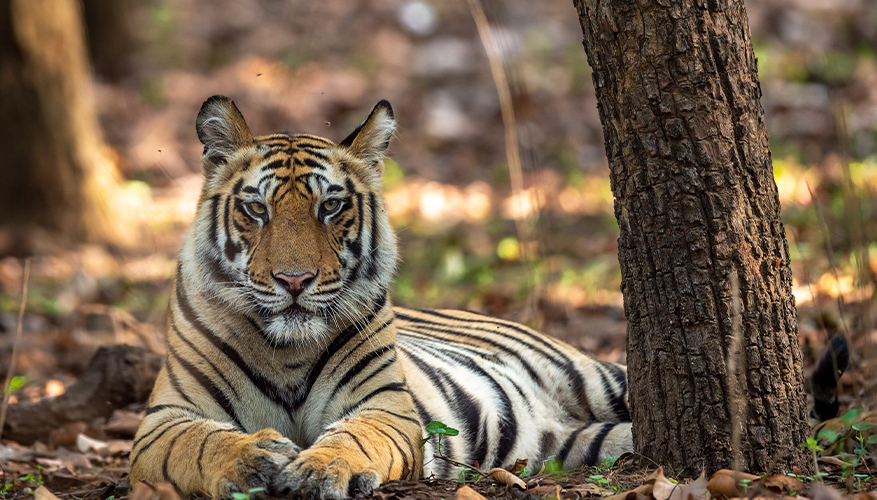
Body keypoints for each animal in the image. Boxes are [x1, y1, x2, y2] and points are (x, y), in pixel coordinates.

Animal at [128, 95, 628, 498]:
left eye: (330, 206)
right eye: (257, 208)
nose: (294, 280)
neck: (286, 351)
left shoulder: (385, 404)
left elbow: (356, 436)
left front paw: (319, 469)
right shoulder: (164, 419)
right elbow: (198, 444)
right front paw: (255, 458)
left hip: (593, 377)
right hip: (579, 443)